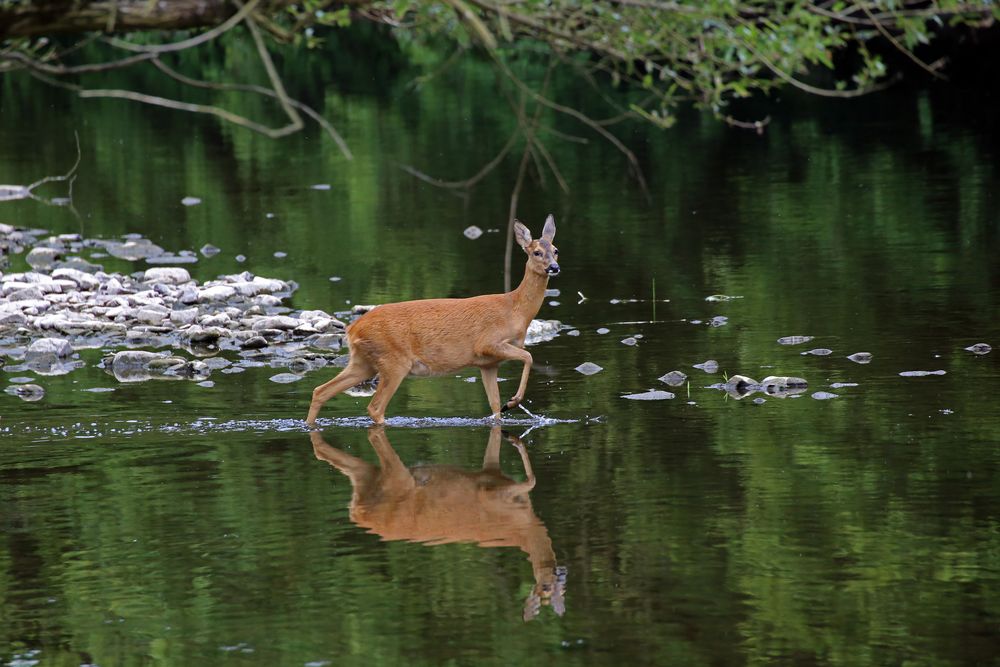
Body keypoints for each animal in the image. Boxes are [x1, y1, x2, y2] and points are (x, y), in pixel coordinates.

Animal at [304, 214, 560, 426]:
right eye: (536, 252)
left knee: (320, 391)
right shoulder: (487, 343)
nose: (554, 267)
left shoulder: (487, 363)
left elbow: (495, 407)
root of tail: (352, 329)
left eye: (556, 250)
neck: (515, 310)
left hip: (363, 361)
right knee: (375, 408)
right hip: (393, 361)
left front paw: (506, 406)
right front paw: (513, 401)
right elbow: (528, 356)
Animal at [308, 428, 568, 620]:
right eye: (546, 588)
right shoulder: (495, 493)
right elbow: (531, 480)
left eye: (562, 591)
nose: (563, 574)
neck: (526, 530)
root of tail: (356, 512)